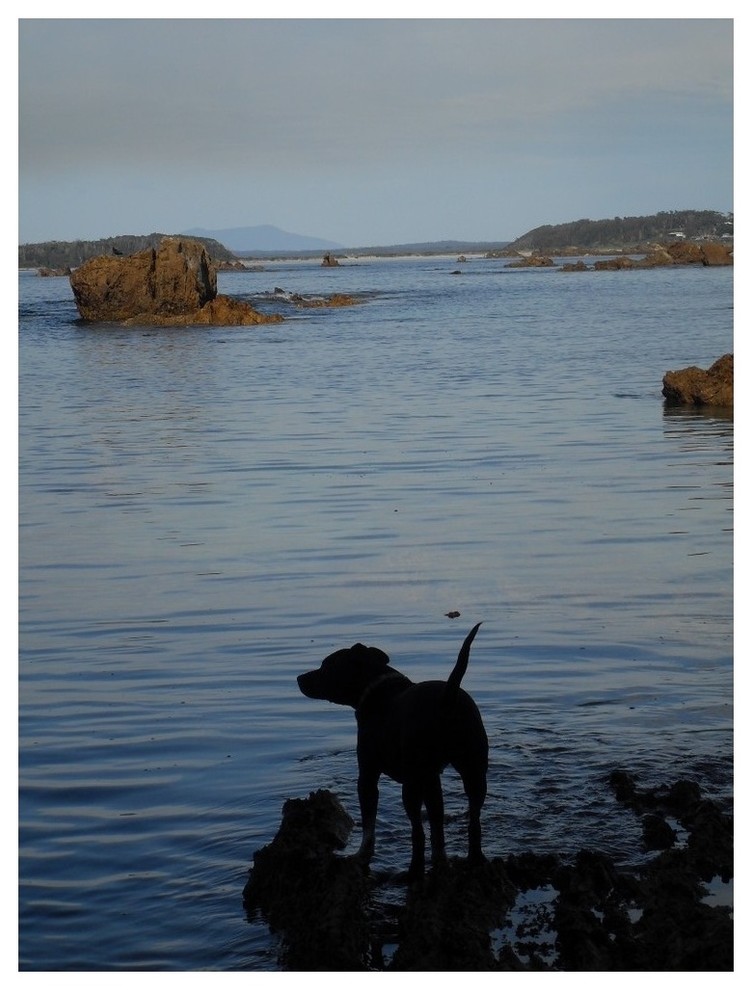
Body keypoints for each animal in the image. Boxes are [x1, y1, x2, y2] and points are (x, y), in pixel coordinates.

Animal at [297, 623, 487, 878]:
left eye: (326, 666)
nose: (299, 678)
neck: (375, 688)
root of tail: (449, 696)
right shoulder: (431, 780)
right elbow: (436, 823)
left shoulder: (368, 775)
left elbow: (369, 824)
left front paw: (361, 856)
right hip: (472, 770)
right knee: (472, 820)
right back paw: (472, 860)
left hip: (412, 784)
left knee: (417, 830)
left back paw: (413, 871)